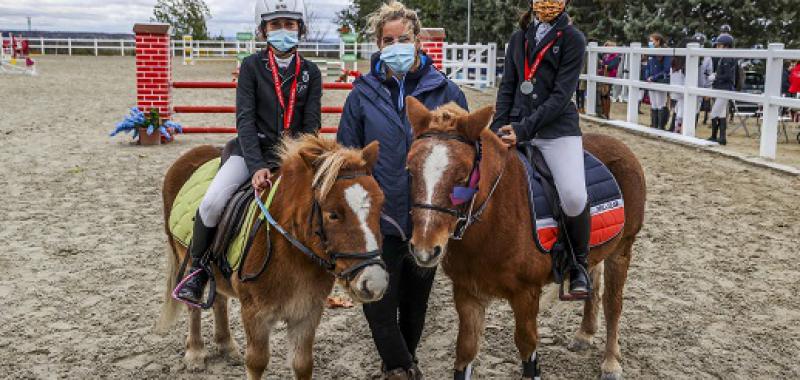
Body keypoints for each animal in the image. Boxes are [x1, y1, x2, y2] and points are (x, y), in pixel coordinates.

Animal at [155, 135, 390, 378]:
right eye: (333, 214)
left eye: (381, 205)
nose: (374, 283)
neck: (292, 255)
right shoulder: (255, 315)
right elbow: (257, 363)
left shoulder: (307, 313)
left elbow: (302, 364)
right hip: (187, 259)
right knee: (193, 306)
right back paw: (195, 352)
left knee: (219, 298)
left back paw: (226, 345)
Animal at [406, 98, 644, 380]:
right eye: (410, 171)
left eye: (463, 176)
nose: (424, 250)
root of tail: (620, 146)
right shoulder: (466, 292)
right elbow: (465, 352)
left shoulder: (526, 294)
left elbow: (527, 350)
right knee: (594, 283)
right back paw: (585, 332)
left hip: (622, 248)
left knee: (613, 303)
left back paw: (610, 362)